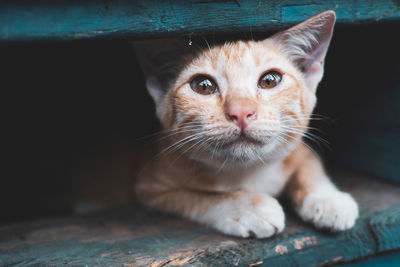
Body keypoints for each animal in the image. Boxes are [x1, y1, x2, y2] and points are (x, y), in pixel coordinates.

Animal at [132, 10, 360, 240]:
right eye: (203, 86)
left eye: (269, 80)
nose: (241, 112)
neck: (249, 170)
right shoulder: (149, 186)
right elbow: (198, 196)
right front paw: (249, 208)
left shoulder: (299, 149)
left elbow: (310, 165)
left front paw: (328, 199)